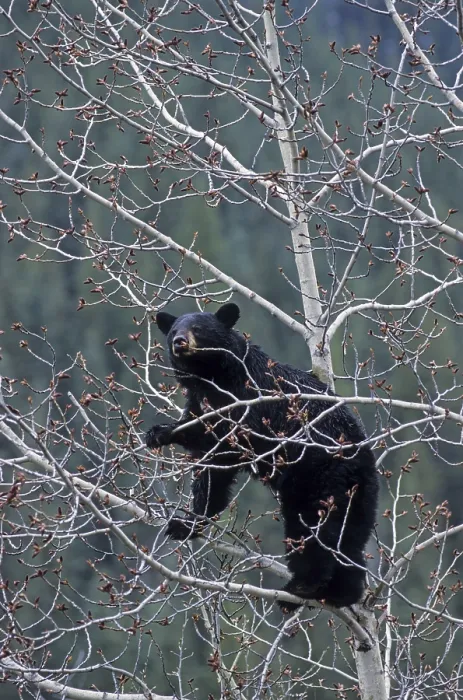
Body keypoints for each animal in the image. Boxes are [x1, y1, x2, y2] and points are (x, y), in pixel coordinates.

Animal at [146, 303, 378, 610]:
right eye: (173, 330)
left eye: (198, 328)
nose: (180, 342)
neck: (216, 377)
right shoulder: (201, 401)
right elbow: (204, 459)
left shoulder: (249, 402)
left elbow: (222, 452)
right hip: (359, 496)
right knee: (350, 538)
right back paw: (342, 593)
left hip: (317, 478)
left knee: (310, 530)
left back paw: (301, 587)